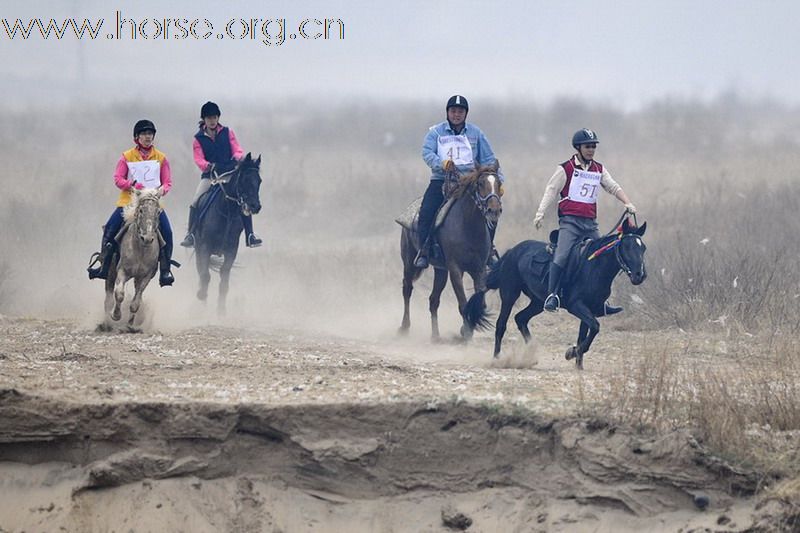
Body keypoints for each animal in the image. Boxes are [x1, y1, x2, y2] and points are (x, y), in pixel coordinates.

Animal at [105, 187, 163, 328]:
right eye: (141, 210)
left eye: (158, 212)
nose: (147, 238)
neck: (141, 249)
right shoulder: (122, 270)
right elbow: (119, 294)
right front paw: (115, 315)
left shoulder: (145, 276)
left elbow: (136, 302)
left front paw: (130, 323)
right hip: (111, 271)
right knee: (108, 294)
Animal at [195, 152, 264, 314]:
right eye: (245, 179)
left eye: (259, 180)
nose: (255, 206)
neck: (227, 211)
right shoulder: (204, 247)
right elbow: (205, 276)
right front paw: (201, 296)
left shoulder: (231, 250)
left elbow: (224, 280)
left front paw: (221, 311)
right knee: (201, 271)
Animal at [398, 162, 504, 338]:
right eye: (480, 184)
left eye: (498, 184)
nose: (494, 210)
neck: (468, 228)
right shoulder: (455, 270)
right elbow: (462, 303)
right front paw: (466, 331)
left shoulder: (479, 269)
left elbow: (480, 302)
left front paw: (470, 325)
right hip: (409, 261)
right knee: (407, 288)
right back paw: (404, 327)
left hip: (441, 270)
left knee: (433, 300)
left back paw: (436, 336)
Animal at [466, 218, 648, 368]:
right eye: (626, 246)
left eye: (643, 248)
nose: (640, 275)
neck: (594, 267)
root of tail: (511, 252)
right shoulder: (576, 305)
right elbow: (595, 327)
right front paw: (572, 352)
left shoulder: (588, 308)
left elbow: (586, 332)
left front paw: (578, 363)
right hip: (510, 294)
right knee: (501, 325)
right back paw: (497, 359)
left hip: (538, 302)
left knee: (521, 318)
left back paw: (531, 353)